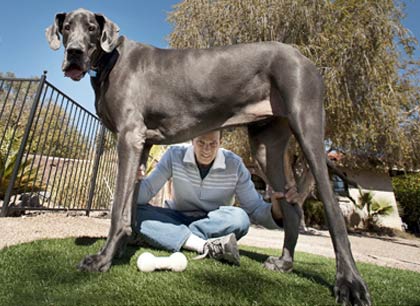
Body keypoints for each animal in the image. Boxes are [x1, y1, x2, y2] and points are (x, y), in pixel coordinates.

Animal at [45, 8, 368, 304]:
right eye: (67, 28)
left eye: (91, 28)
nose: (74, 53)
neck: (111, 60)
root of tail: (303, 57)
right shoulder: (142, 144)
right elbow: (132, 204)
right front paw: (124, 247)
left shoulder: (129, 136)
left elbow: (117, 211)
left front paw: (103, 259)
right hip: (266, 146)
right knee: (291, 208)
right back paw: (285, 263)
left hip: (307, 123)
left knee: (332, 209)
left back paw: (350, 283)